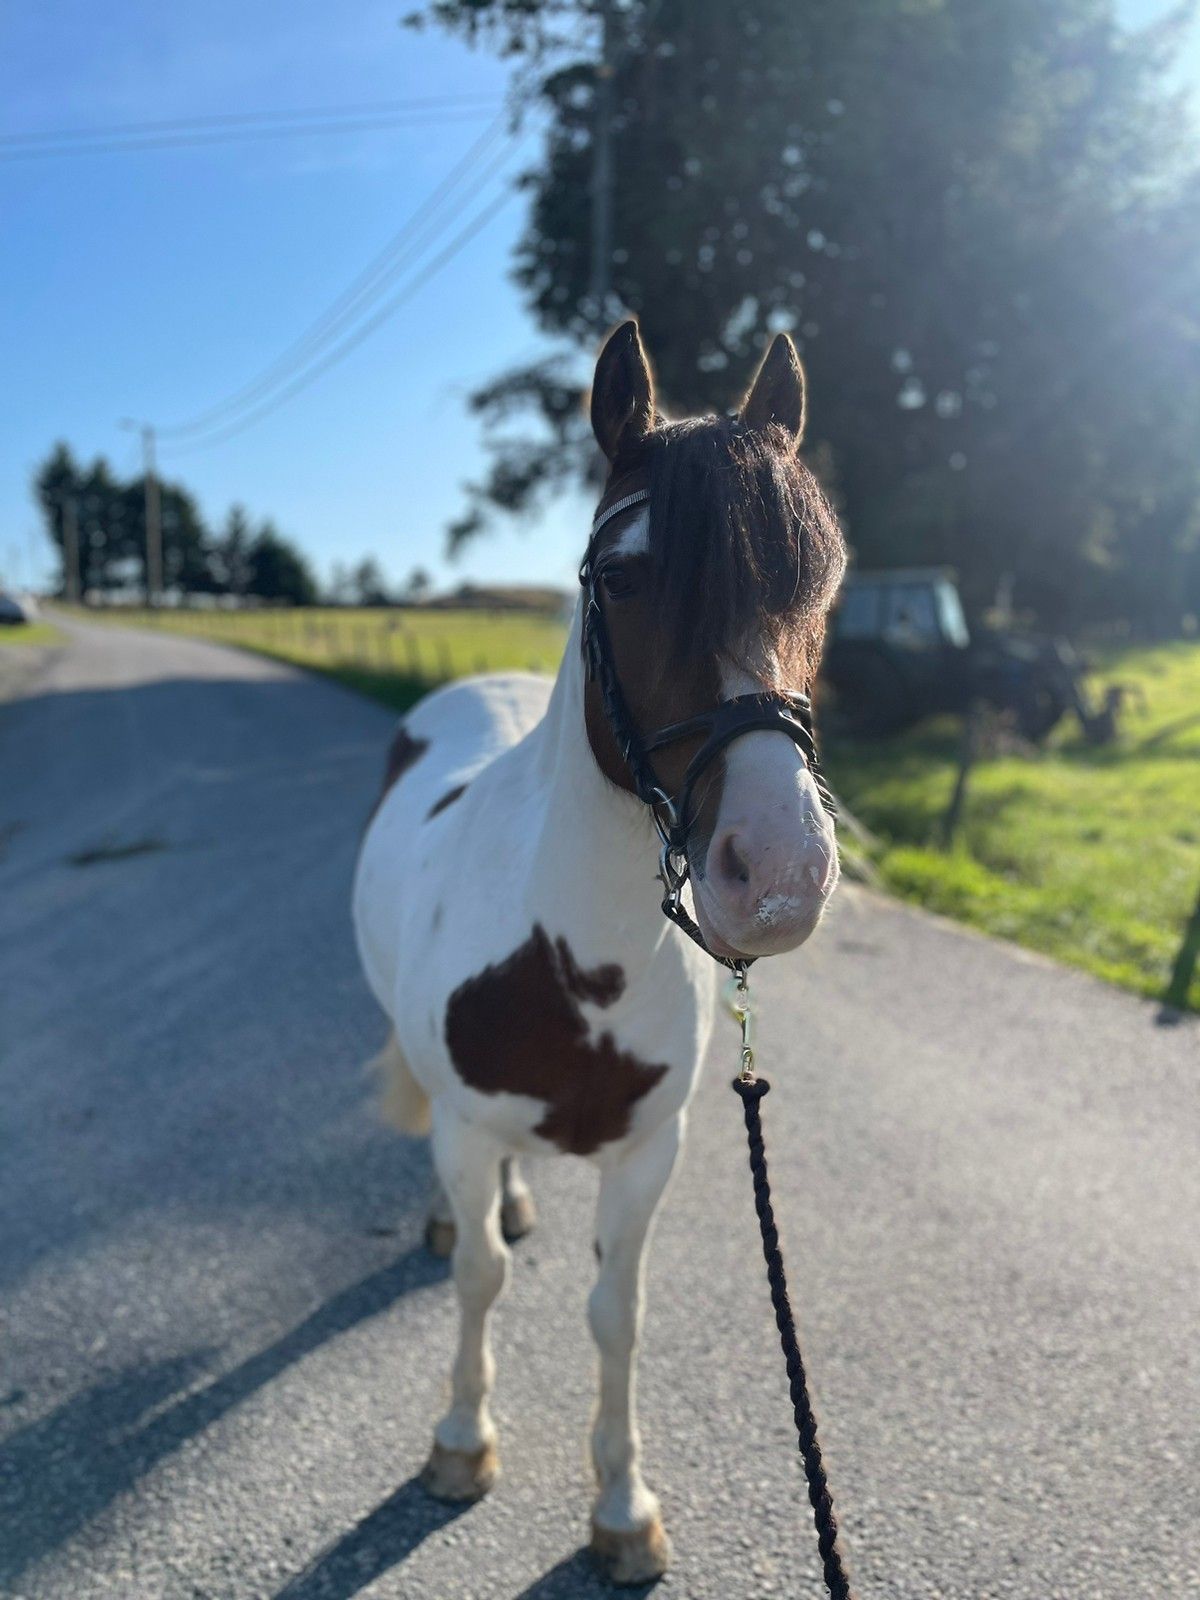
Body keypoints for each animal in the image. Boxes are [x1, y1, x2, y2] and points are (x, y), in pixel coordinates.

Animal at [352, 324, 851, 1587]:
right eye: (620, 576)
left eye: (823, 578)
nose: (779, 873)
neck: (573, 962)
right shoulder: (467, 1128)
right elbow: (480, 1276)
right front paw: (460, 1440)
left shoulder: (647, 1152)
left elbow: (616, 1312)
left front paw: (623, 1505)